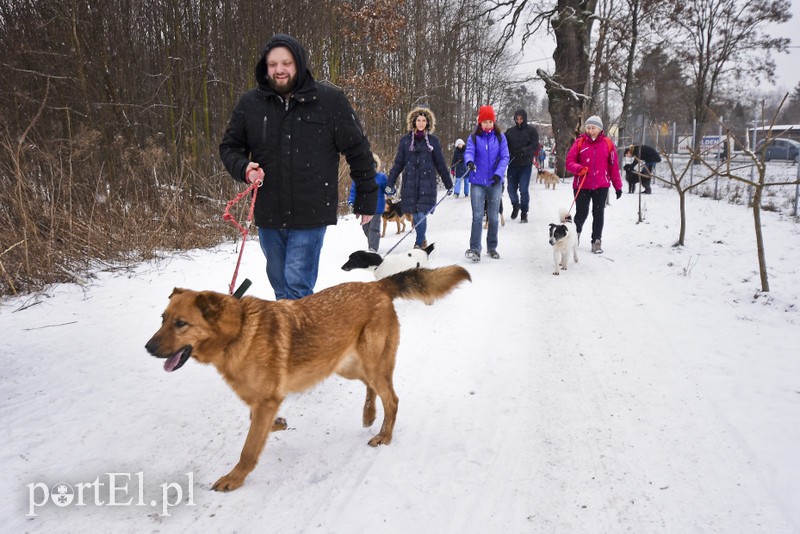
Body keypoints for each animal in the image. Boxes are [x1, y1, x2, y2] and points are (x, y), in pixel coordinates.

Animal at [145, 266, 468, 494]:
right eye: (162, 319)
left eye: (181, 324)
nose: (148, 348)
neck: (237, 331)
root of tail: (375, 286)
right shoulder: (263, 401)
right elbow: (259, 427)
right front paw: (278, 425)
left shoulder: (266, 400)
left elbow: (248, 449)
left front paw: (234, 478)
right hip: (345, 365)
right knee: (372, 388)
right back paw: (368, 414)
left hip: (371, 363)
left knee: (392, 398)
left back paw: (384, 435)